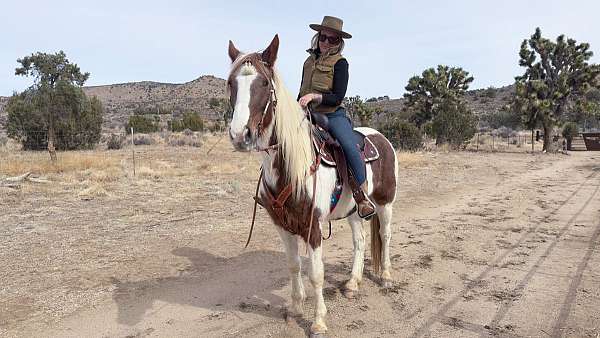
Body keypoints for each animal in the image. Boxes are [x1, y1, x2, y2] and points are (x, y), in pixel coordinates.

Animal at [225, 34, 398, 336]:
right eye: (231, 83)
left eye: (264, 83)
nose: (239, 135)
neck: (290, 167)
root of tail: (381, 138)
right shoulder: (283, 225)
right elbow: (294, 266)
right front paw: (295, 308)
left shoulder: (313, 227)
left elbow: (316, 273)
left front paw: (318, 321)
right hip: (355, 209)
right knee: (360, 241)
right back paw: (353, 283)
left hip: (385, 202)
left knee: (385, 235)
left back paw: (386, 277)